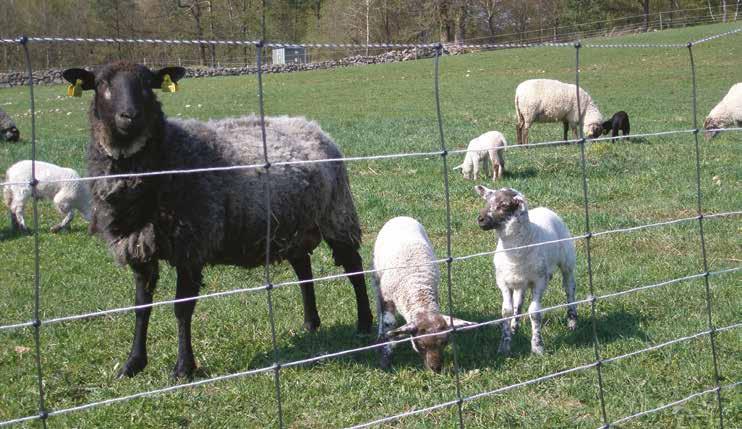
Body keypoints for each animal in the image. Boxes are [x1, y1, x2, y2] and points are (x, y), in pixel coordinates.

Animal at [63, 61, 374, 378]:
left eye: (148, 84)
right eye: (101, 84)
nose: (129, 116)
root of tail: (310, 125)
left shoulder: (192, 243)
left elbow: (182, 309)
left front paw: (183, 368)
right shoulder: (139, 246)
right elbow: (141, 307)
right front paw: (133, 364)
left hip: (337, 214)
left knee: (354, 267)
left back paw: (364, 323)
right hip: (292, 224)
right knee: (303, 270)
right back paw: (311, 324)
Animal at [372, 217, 476, 372]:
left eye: (444, 343)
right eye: (420, 344)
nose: (436, 369)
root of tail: (401, 217)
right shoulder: (388, 296)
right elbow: (389, 323)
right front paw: (385, 358)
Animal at [476, 186, 580, 356]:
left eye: (504, 205)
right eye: (487, 201)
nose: (480, 219)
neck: (515, 252)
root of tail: (544, 208)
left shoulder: (539, 281)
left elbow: (535, 313)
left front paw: (537, 347)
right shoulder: (503, 282)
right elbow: (506, 311)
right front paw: (504, 345)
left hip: (567, 261)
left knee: (569, 288)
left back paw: (572, 321)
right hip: (520, 281)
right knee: (519, 301)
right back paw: (514, 326)